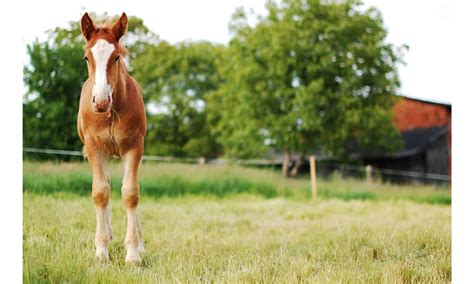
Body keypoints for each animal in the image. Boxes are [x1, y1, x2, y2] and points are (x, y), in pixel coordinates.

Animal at [78, 12, 146, 262]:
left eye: (116, 57)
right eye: (86, 57)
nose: (100, 101)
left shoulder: (134, 147)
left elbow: (131, 192)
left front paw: (134, 253)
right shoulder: (94, 148)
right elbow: (100, 192)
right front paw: (101, 250)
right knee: (104, 184)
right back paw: (107, 234)